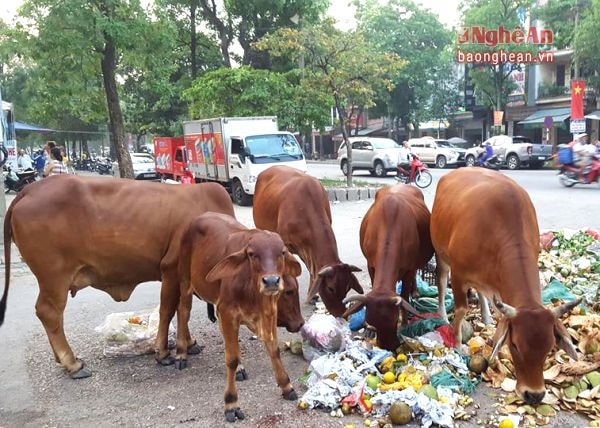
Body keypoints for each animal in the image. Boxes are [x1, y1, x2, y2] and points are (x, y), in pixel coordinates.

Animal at [0, 174, 234, 378]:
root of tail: (29, 190)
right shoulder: (171, 269)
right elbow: (169, 310)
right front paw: (163, 352)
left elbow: (180, 309)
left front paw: (188, 343)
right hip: (54, 276)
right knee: (48, 312)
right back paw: (72, 364)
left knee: (53, 315)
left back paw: (62, 360)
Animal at [171, 212, 302, 422]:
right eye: (251, 254)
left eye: (282, 252)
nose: (271, 281)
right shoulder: (227, 312)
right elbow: (231, 359)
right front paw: (231, 403)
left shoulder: (268, 314)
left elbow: (274, 350)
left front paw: (286, 385)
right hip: (185, 281)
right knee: (183, 312)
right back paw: (181, 353)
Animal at [342, 185, 436, 352]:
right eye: (371, 321)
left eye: (394, 320)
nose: (389, 346)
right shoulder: (370, 265)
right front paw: (369, 330)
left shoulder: (409, 268)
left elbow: (404, 295)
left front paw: (404, 323)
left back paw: (415, 291)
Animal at [432, 168, 580, 404]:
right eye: (515, 345)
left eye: (550, 347)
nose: (534, 395)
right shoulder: (459, 274)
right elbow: (462, 309)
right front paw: (457, 344)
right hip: (441, 255)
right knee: (441, 280)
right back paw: (443, 315)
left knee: (483, 293)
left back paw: (486, 317)